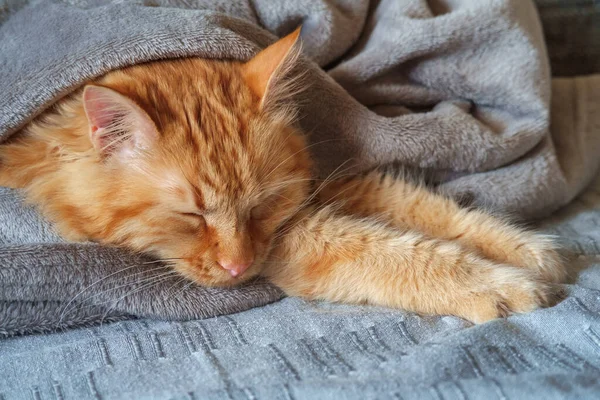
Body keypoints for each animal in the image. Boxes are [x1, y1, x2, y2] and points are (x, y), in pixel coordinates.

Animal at [0, 28, 568, 322]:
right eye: (190, 216)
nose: (237, 268)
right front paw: (495, 282)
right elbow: (402, 251)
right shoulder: (302, 236)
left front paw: (522, 249)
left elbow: (430, 212)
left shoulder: (325, 187)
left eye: (261, 205)